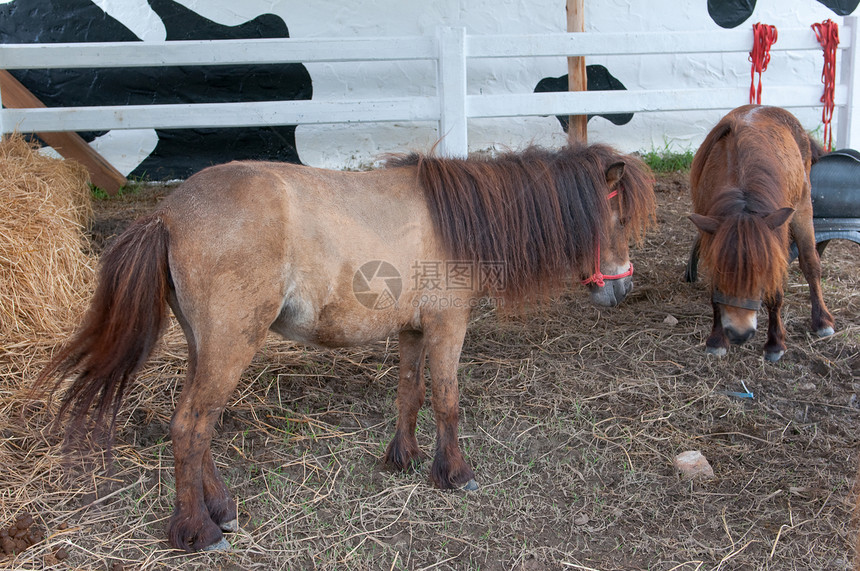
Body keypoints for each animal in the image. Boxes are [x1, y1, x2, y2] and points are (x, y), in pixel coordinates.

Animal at [31, 143, 652, 556]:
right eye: (617, 214)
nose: (621, 288)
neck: (457, 219)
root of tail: (168, 213)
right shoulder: (448, 326)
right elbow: (447, 400)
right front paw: (454, 473)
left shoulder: (413, 331)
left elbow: (410, 393)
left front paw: (403, 457)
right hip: (232, 343)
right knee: (191, 426)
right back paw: (198, 531)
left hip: (204, 346)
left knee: (196, 424)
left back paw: (221, 510)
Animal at [684, 105, 832, 360]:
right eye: (722, 271)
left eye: (763, 271)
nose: (739, 333)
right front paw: (717, 340)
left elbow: (776, 293)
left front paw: (775, 343)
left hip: (803, 208)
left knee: (810, 263)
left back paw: (822, 320)